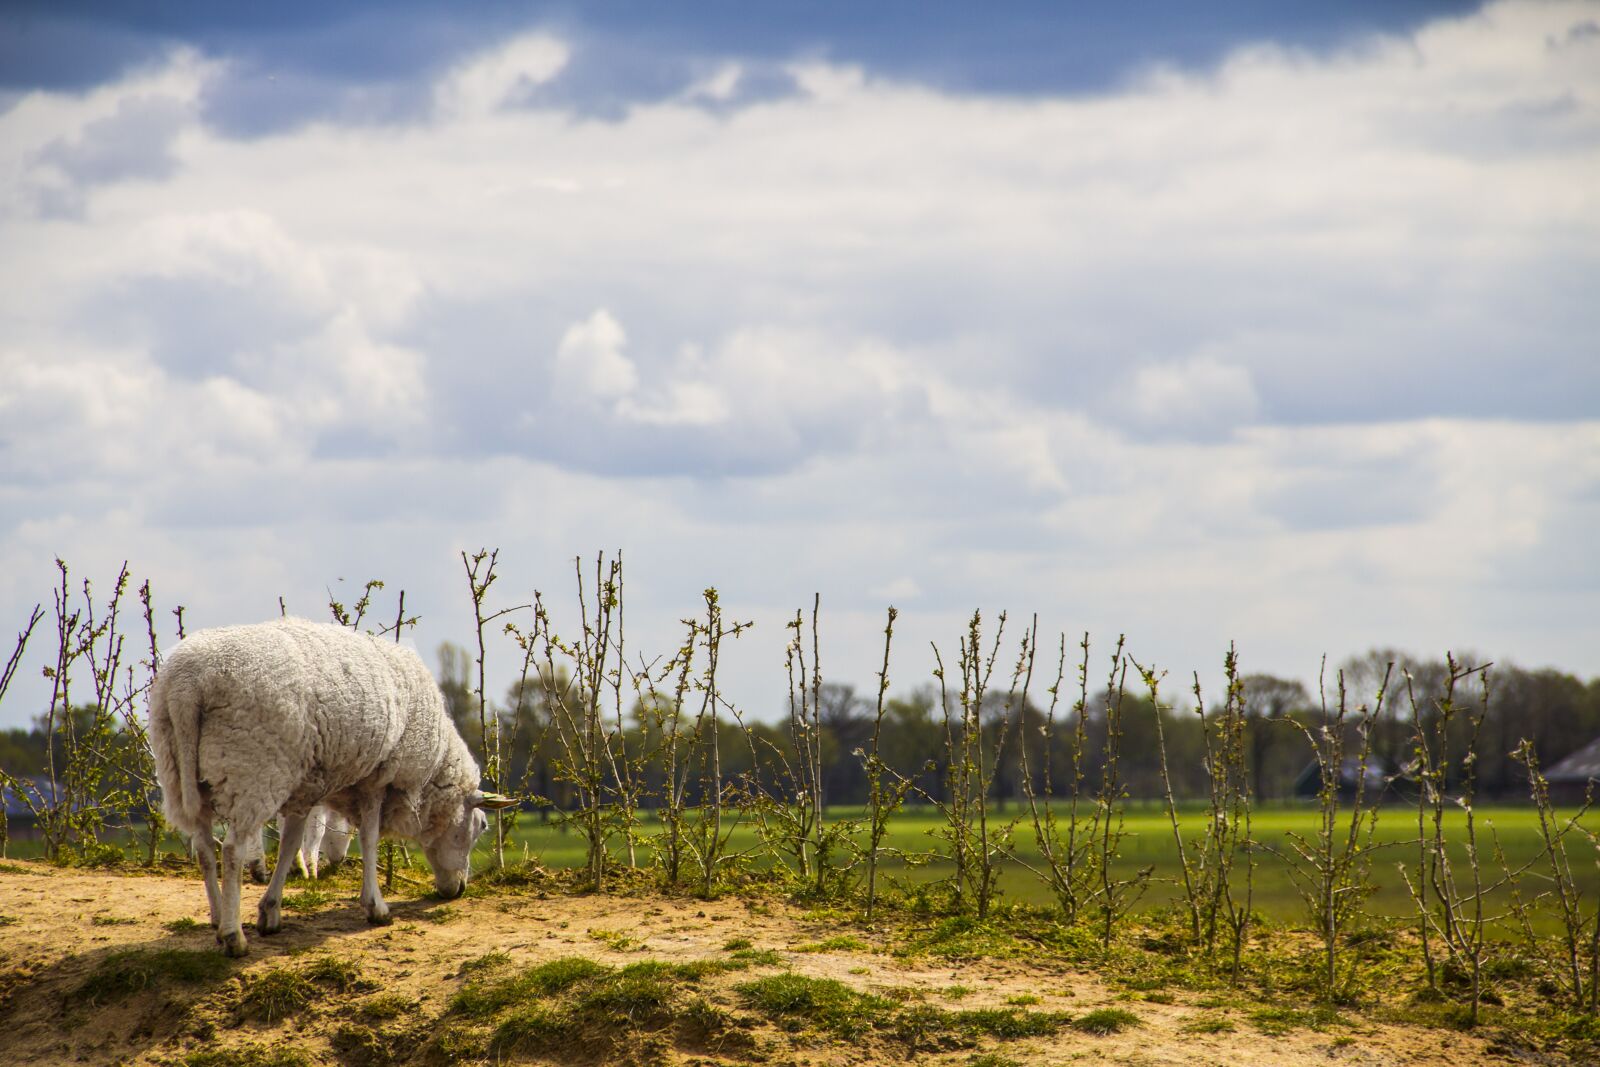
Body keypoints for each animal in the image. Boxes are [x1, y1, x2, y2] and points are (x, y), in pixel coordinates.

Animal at [149, 617, 514, 956]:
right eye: (481, 826)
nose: (459, 890)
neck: (430, 772)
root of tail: (188, 686)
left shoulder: (304, 788)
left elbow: (291, 845)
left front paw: (271, 911)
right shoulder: (376, 780)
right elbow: (369, 839)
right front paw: (376, 906)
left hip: (179, 768)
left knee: (204, 848)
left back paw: (216, 916)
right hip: (252, 768)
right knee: (231, 850)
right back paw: (232, 935)